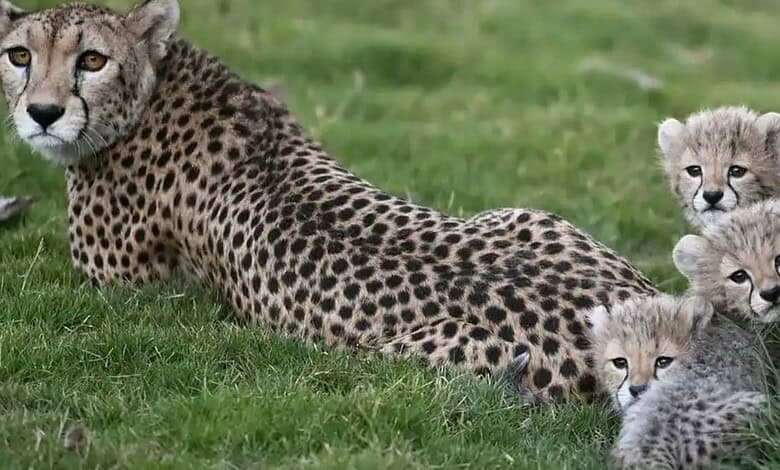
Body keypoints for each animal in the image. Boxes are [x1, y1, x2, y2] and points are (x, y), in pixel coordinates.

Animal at [0, 0, 657, 401]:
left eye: (92, 59)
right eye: (19, 55)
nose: (42, 113)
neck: (158, 83)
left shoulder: (122, 291)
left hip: (407, 359)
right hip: (528, 214)